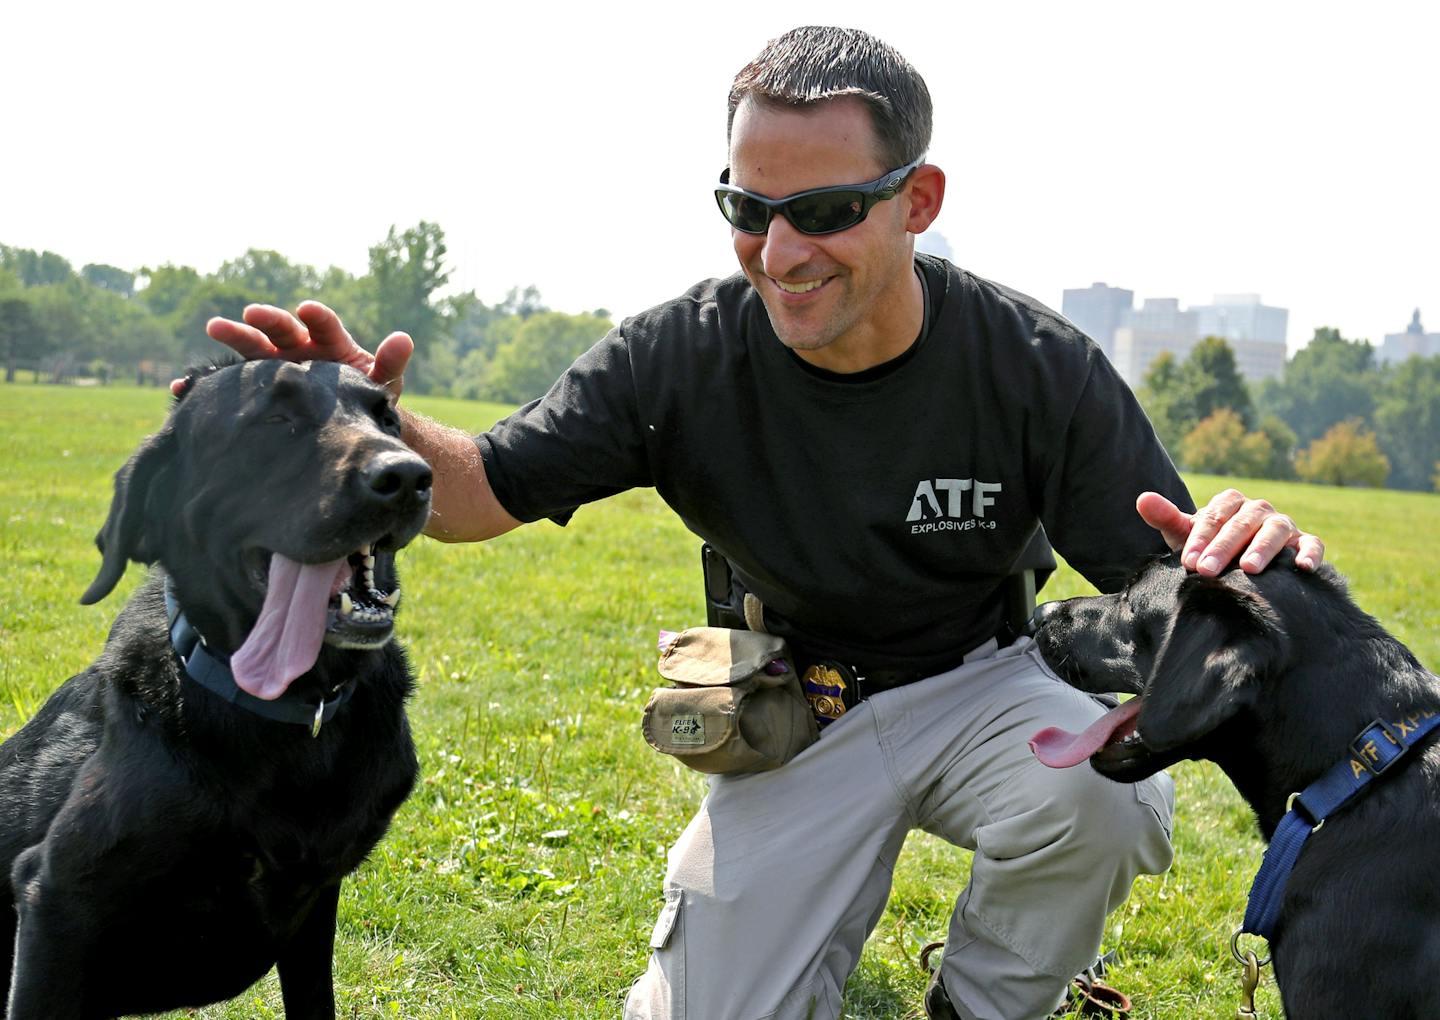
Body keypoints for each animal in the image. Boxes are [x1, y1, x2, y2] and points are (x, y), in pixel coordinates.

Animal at [2, 357, 434, 1014]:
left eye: (388, 418)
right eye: (274, 419)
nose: (409, 475)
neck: (290, 714)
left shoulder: (314, 903)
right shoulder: (53, 898)